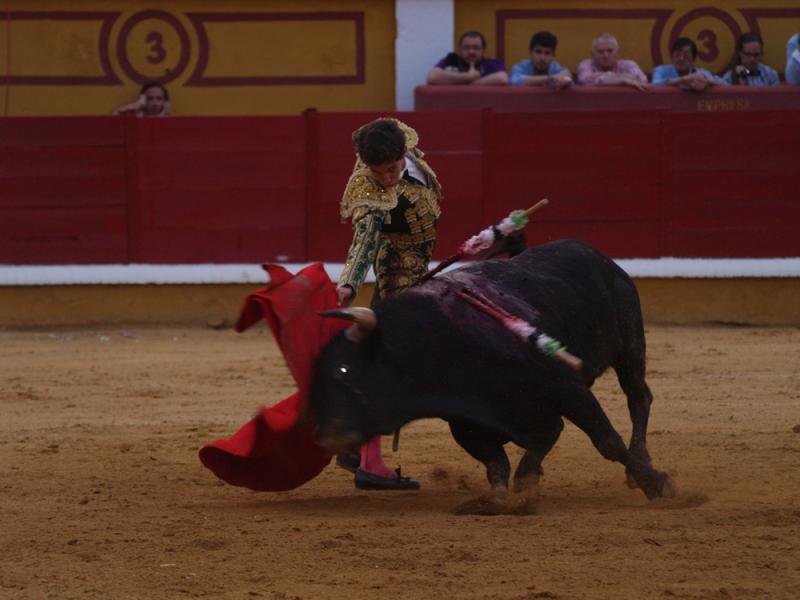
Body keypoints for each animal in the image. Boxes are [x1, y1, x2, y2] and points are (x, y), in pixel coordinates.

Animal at [310, 238, 676, 496]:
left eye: (344, 371)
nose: (328, 436)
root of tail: (598, 256)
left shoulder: (567, 388)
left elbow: (606, 440)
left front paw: (658, 484)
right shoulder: (466, 423)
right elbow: (500, 464)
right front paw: (518, 487)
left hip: (629, 346)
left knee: (638, 397)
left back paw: (640, 461)